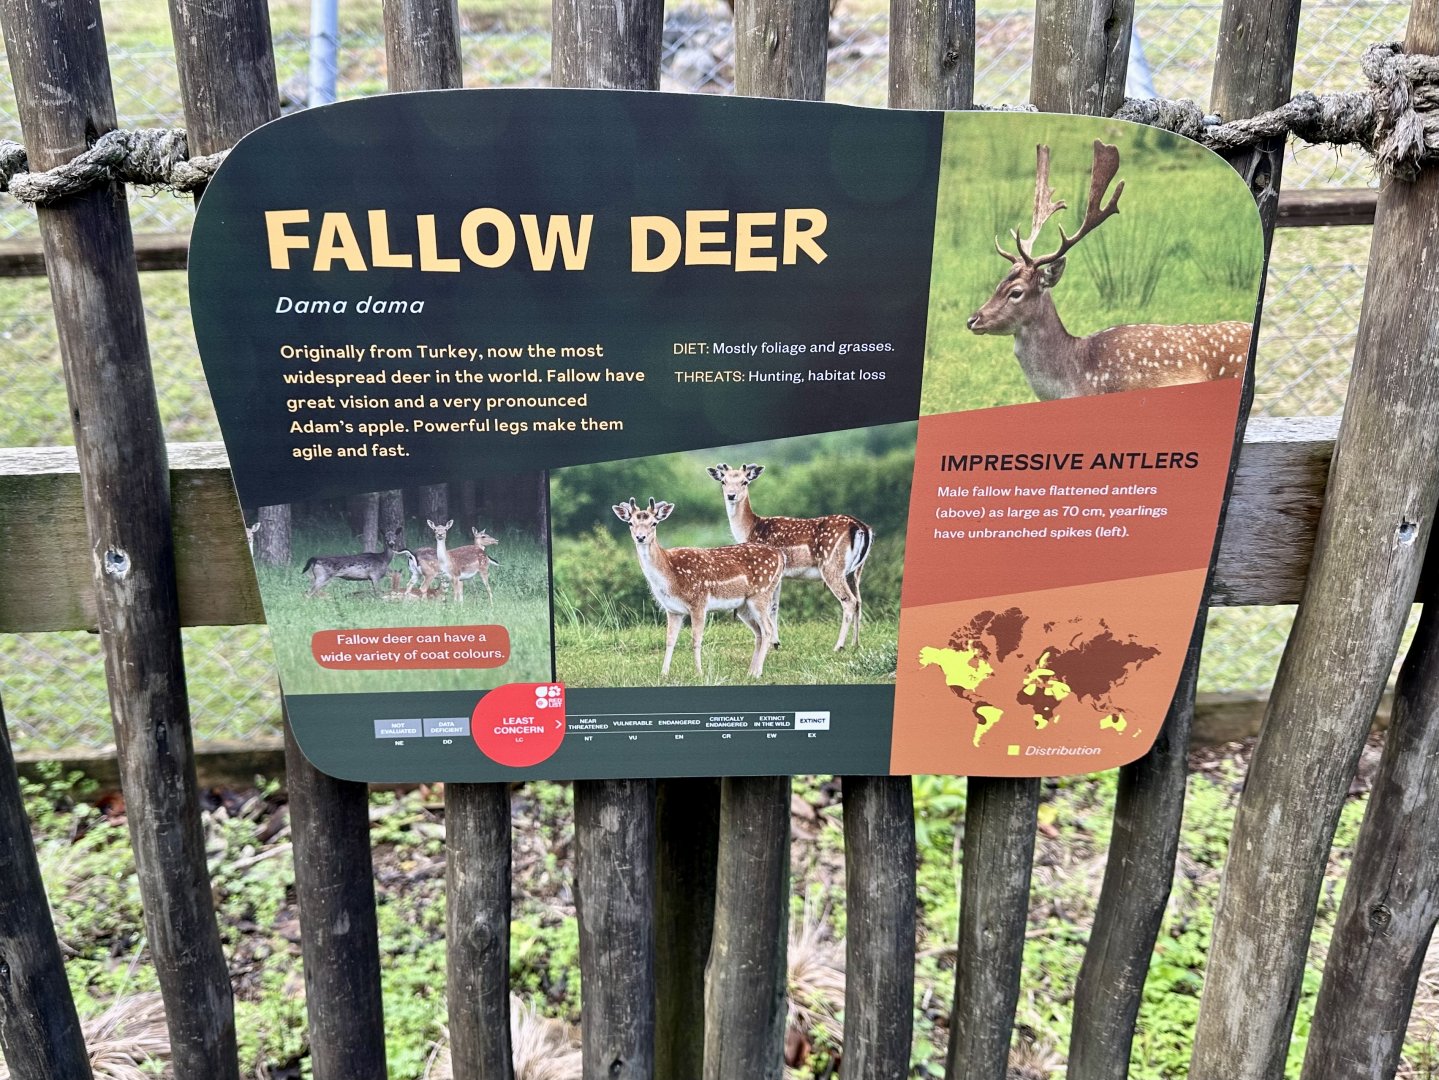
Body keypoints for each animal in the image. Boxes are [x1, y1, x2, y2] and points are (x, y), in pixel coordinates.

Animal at [613, 497, 783, 679]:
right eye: (630, 522)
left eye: (654, 523)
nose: (640, 537)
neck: (670, 577)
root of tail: (780, 556)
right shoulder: (673, 609)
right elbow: (670, 640)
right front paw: (663, 673)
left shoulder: (699, 602)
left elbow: (696, 639)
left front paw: (699, 673)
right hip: (744, 605)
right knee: (758, 632)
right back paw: (750, 672)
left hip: (761, 594)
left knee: (767, 629)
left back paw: (757, 672)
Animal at [706, 463, 873, 652]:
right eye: (723, 481)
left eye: (745, 481)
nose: (731, 495)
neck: (750, 529)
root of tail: (861, 528)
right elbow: (775, 606)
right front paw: (776, 642)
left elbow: (771, 606)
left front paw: (774, 643)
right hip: (855, 571)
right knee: (859, 601)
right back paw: (855, 644)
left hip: (832, 566)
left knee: (849, 601)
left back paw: (838, 646)